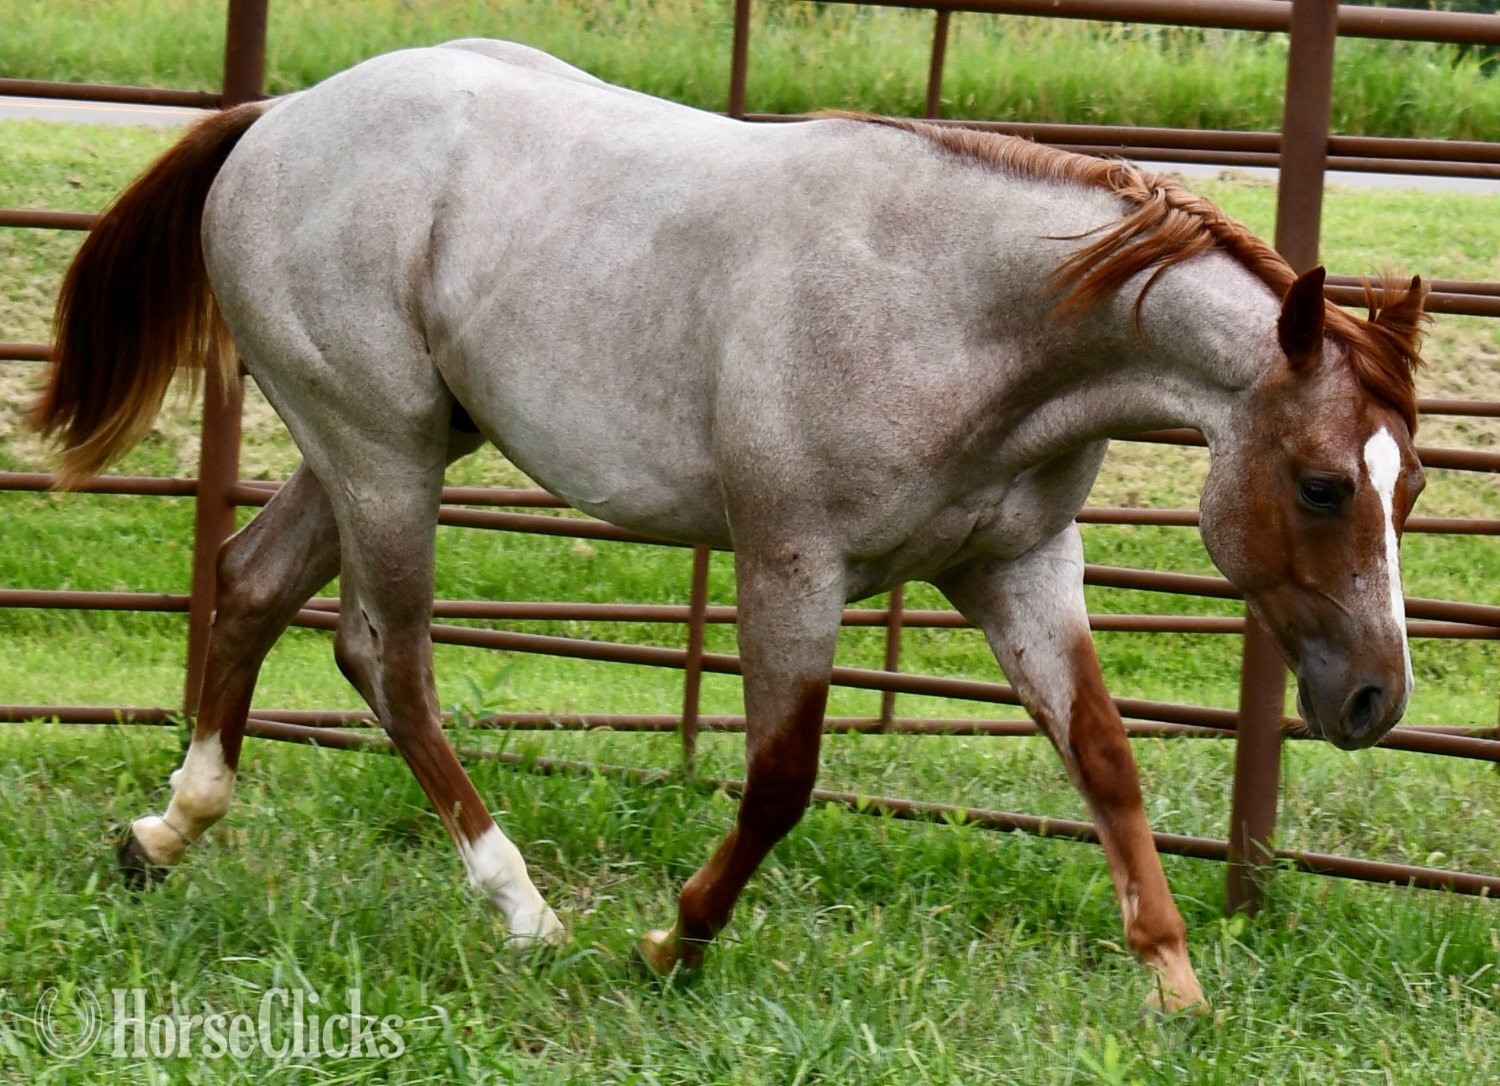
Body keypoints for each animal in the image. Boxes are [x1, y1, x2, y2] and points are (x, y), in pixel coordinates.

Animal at [33, 40, 1427, 1013]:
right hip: (378, 453)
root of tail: (279, 118)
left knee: (251, 584)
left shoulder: (1017, 567)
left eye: (1406, 483)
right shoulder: (791, 565)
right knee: (390, 659)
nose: (1374, 701)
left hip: (383, 446)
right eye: (1320, 483)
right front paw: (671, 942)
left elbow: (1105, 759)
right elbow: (780, 779)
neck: (963, 310)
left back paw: (165, 832)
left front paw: (1176, 985)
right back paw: (524, 910)